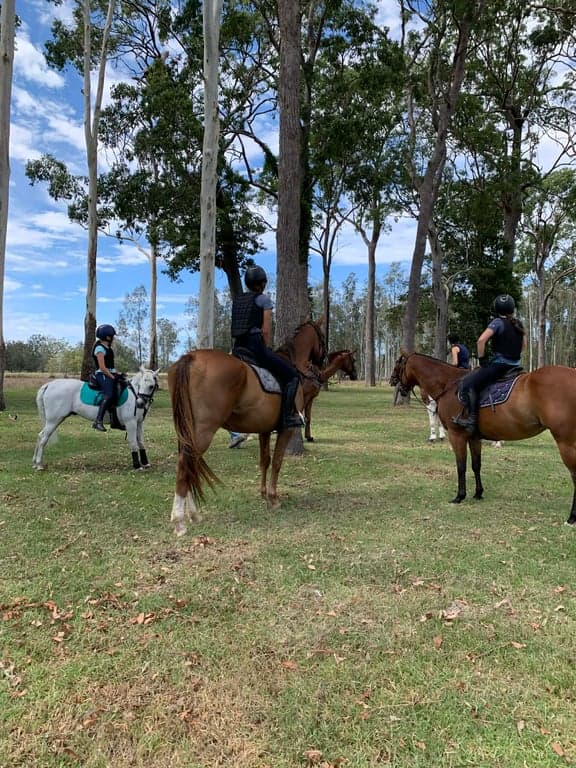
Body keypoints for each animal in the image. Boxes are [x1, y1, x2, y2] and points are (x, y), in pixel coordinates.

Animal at [168, 320, 326, 535]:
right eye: (322, 337)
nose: (320, 369)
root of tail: (190, 357)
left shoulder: (264, 429)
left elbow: (264, 461)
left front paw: (263, 494)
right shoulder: (286, 430)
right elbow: (277, 462)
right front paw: (274, 498)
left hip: (188, 431)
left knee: (190, 465)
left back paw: (193, 514)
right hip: (203, 431)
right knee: (185, 463)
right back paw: (179, 521)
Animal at [390, 350, 576, 525]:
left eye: (398, 364)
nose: (393, 382)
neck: (448, 384)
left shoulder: (456, 435)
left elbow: (461, 466)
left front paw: (460, 496)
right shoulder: (474, 437)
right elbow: (476, 465)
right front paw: (478, 493)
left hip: (566, 442)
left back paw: (571, 518)